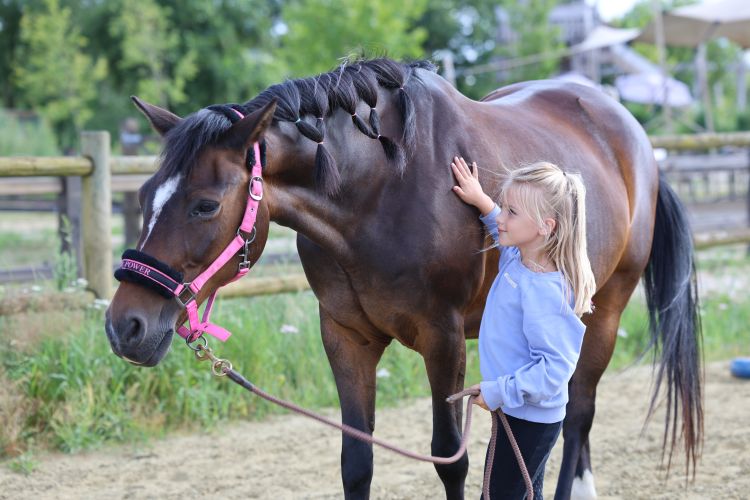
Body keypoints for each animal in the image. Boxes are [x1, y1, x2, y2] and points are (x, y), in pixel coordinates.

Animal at [105, 58, 702, 499]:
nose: (125, 326)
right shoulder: (345, 336)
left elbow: (450, 458)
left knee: (577, 414)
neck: (380, 188)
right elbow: (356, 459)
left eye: (205, 205)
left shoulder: (443, 338)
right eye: (143, 196)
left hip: (608, 307)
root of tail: (632, 135)